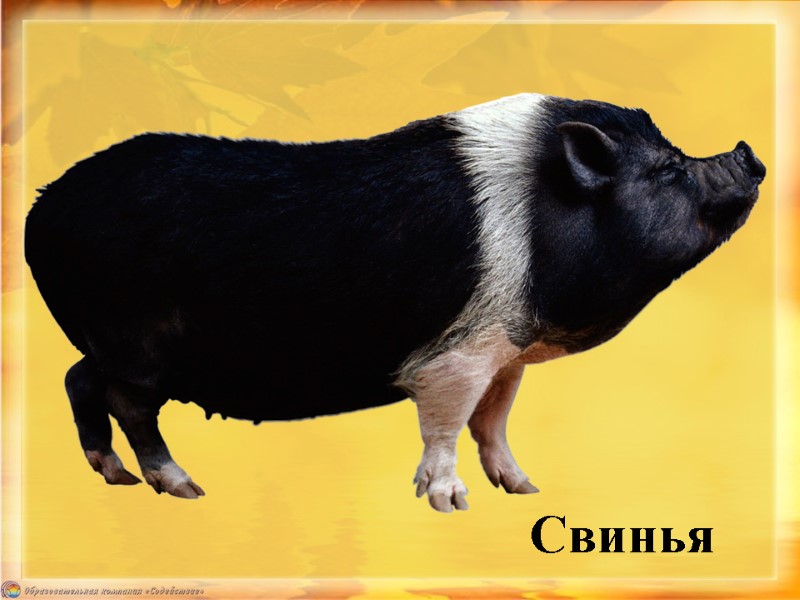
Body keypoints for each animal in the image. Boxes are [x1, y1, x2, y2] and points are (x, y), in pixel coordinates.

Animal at [25, 93, 765, 512]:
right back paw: (183, 488)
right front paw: (450, 505)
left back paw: (116, 478)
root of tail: (42, 207)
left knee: (76, 378)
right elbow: (445, 426)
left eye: (675, 153)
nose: (748, 151)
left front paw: (523, 489)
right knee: (124, 402)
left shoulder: (504, 351)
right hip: (138, 345)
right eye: (667, 171)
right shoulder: (455, 357)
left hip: (108, 342)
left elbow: (492, 422)